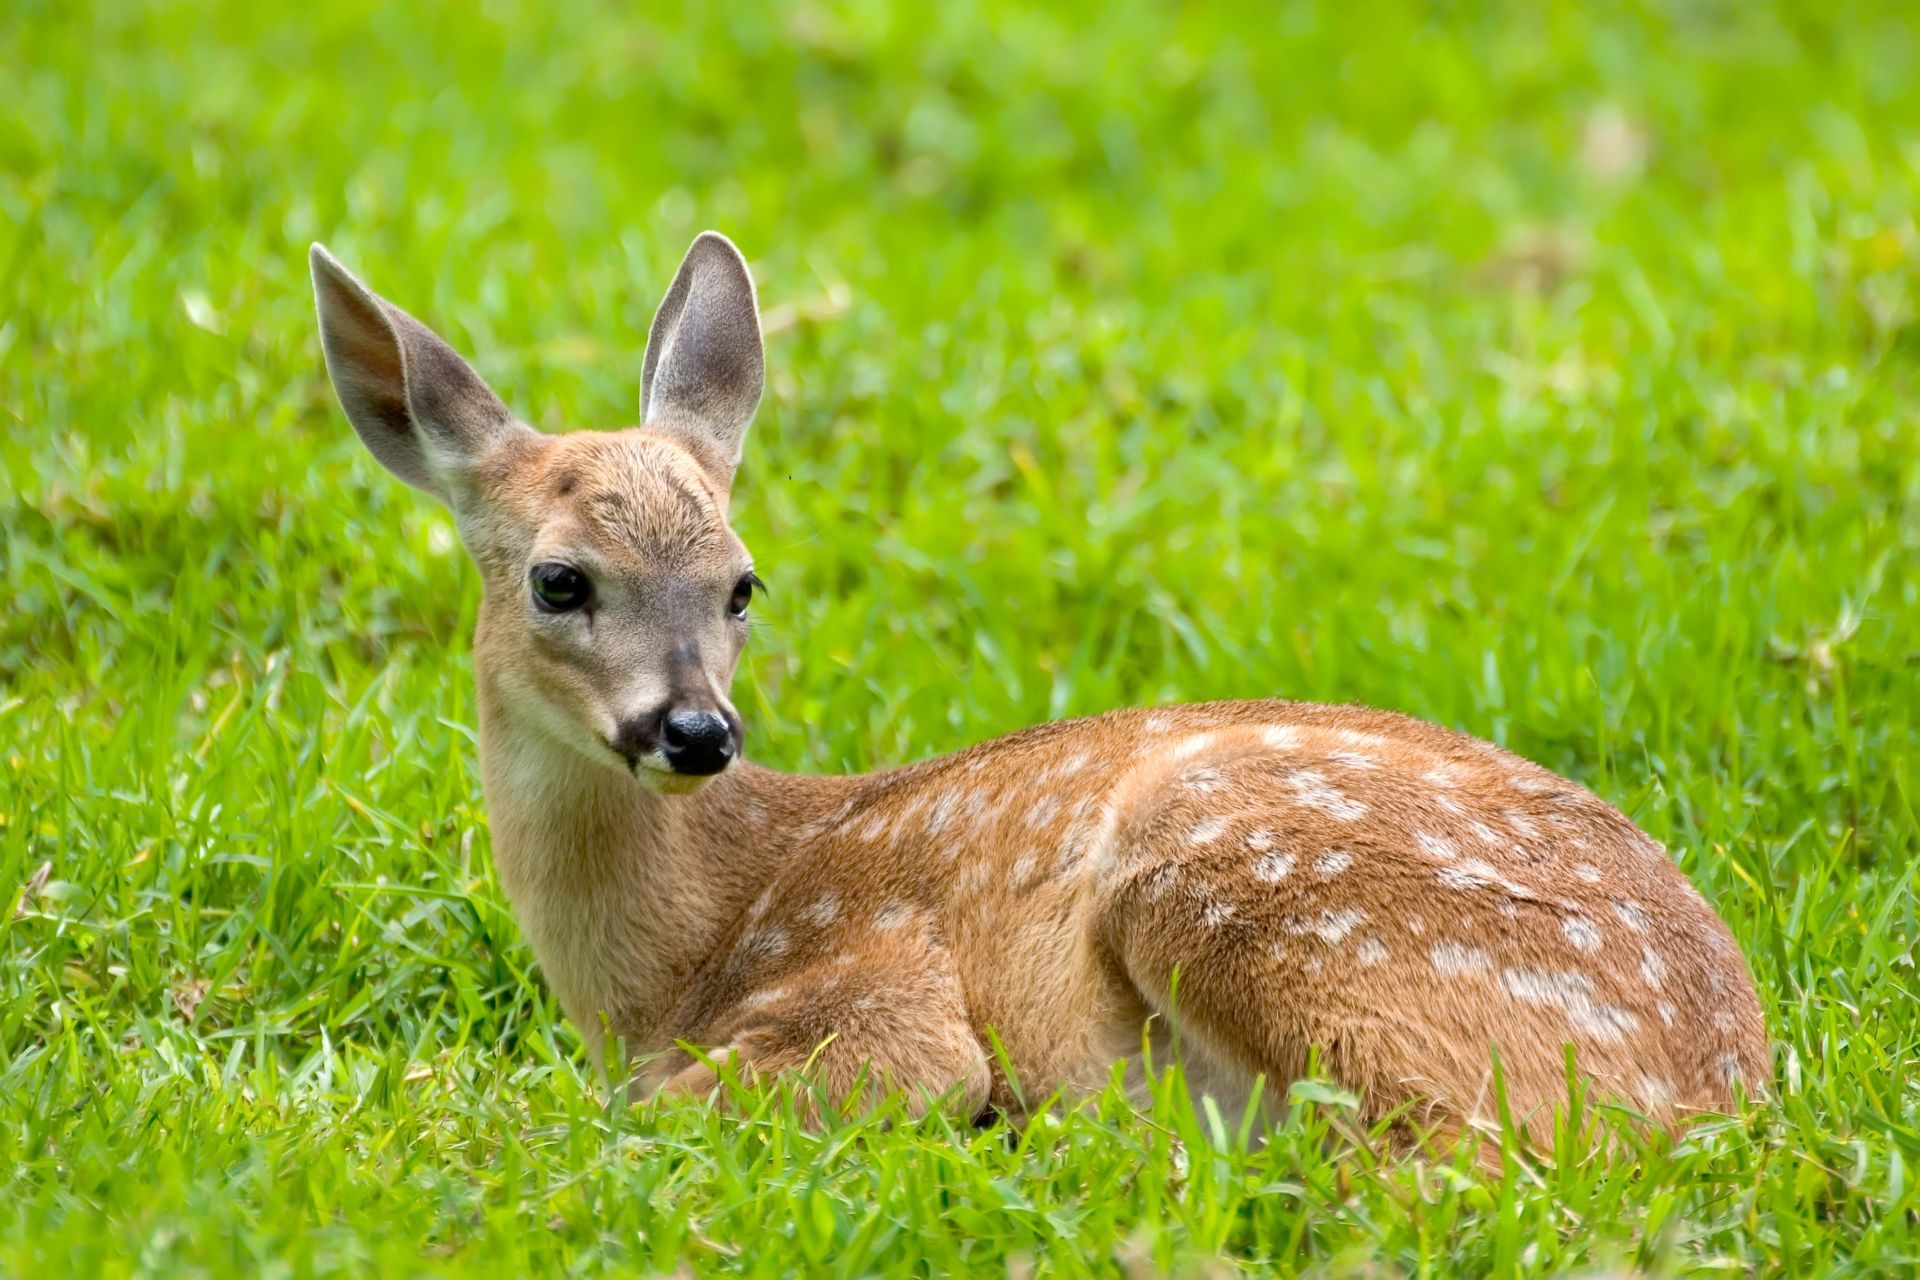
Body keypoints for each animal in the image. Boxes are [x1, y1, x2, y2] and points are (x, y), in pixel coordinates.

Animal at [307, 227, 1758, 1151]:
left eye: (740, 583)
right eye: (559, 581)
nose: (696, 730)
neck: (678, 960)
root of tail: (1721, 1086)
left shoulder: (881, 997)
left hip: (1242, 891)